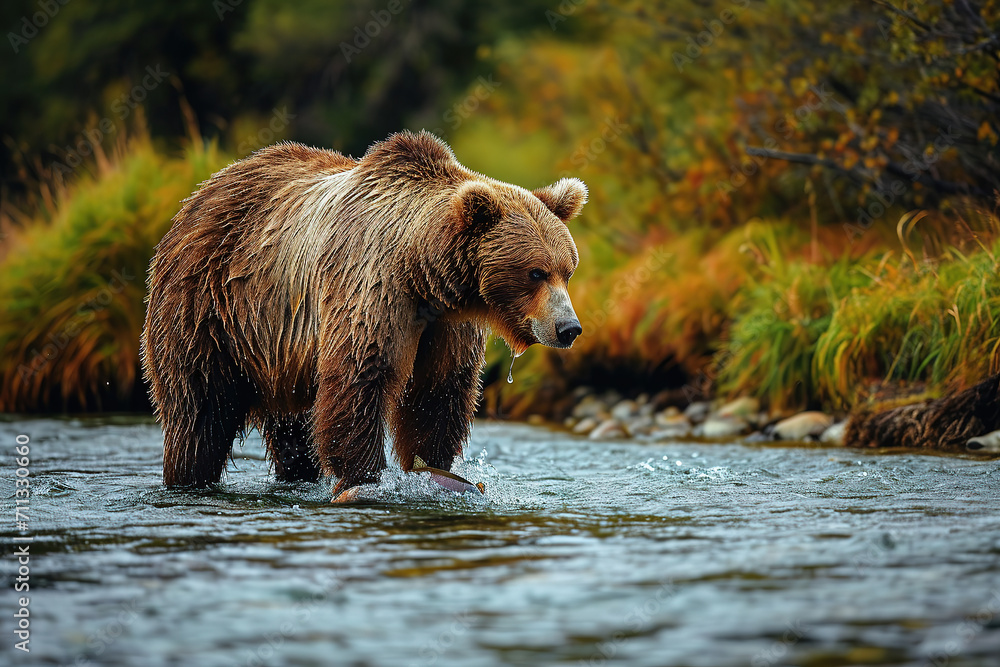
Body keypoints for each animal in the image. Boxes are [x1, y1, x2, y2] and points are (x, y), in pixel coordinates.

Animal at [141, 130, 587, 498]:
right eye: (535, 272)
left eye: (568, 270)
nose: (569, 328)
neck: (423, 271)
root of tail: (197, 195)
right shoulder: (373, 288)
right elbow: (360, 377)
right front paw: (365, 477)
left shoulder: (447, 326)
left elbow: (437, 396)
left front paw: (433, 471)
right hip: (208, 303)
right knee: (198, 411)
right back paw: (188, 478)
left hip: (276, 347)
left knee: (291, 427)